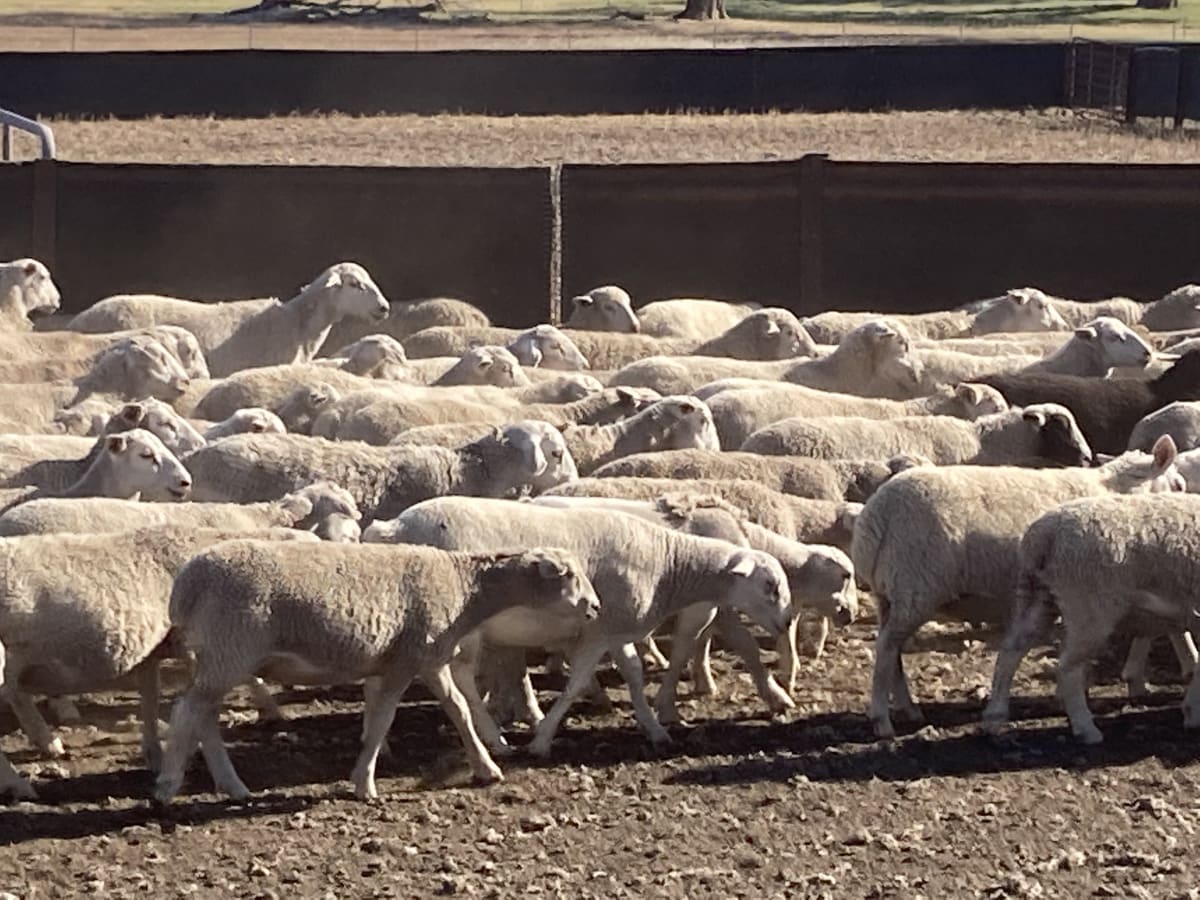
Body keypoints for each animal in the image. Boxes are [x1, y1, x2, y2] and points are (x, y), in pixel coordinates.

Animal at [0, 525, 319, 797]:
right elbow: (219, 698)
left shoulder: (153, 648)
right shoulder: (206, 643)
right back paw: (18, 782)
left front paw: (155, 754)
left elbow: (151, 696)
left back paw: (44, 743)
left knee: (16, 695)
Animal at [365, 497, 791, 757]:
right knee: (462, 678)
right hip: (455, 626)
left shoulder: (613, 630)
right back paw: (495, 741)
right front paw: (541, 740)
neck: (668, 563)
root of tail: (392, 528)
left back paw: (379, 743)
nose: (787, 621)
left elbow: (633, 674)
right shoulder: (601, 630)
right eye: (770, 587)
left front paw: (654, 727)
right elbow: (576, 683)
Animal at [984, 493, 1200, 744]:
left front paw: (1192, 711)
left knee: (1010, 653)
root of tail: (1045, 533)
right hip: (1088, 605)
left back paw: (994, 717)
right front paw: (1192, 712)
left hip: (1038, 596)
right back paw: (1086, 728)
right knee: (1067, 668)